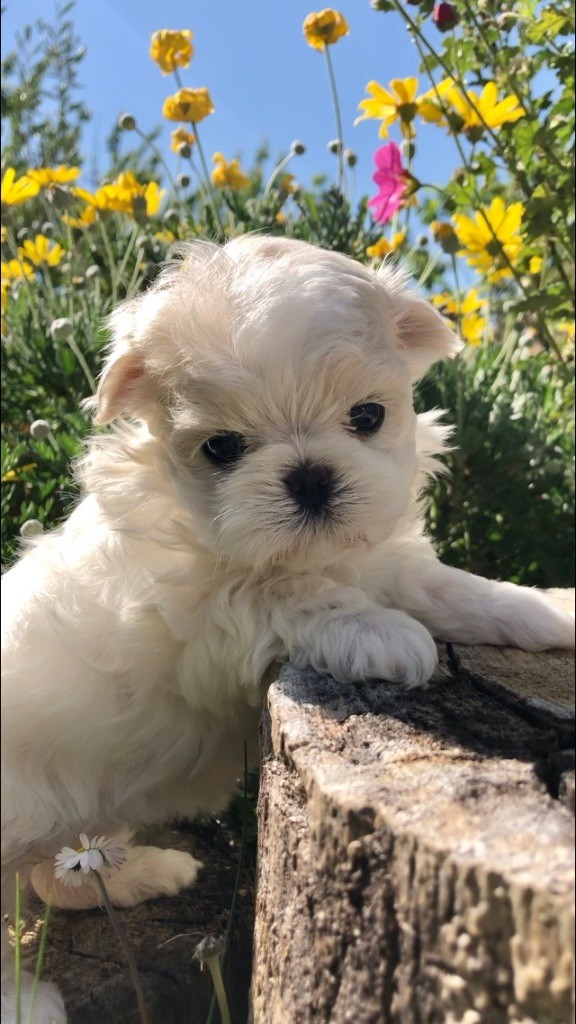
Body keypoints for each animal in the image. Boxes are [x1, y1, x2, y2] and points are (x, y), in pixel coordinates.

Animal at [2, 235, 569, 1019]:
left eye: (368, 416)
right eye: (221, 448)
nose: (309, 475)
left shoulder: (381, 559)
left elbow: (447, 585)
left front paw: (545, 608)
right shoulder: (206, 615)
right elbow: (286, 596)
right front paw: (385, 636)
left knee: (56, 876)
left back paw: (147, 873)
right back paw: (28, 1001)